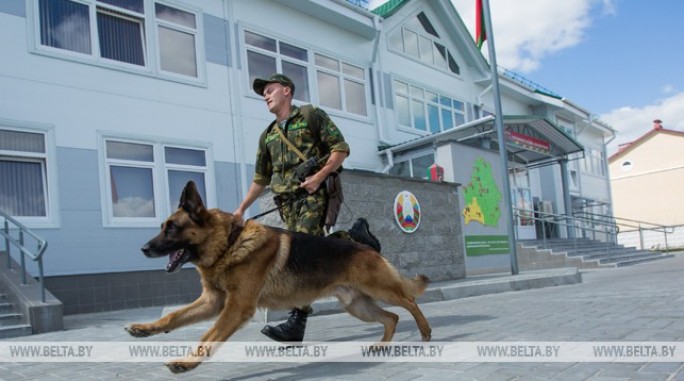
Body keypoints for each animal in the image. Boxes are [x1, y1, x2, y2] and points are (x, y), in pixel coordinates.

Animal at [125, 180, 430, 372]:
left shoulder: (236, 307)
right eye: (162, 227)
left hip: (381, 290)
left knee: (410, 302)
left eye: (172, 228)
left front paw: (187, 363)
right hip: (357, 305)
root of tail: (367, 247)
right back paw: (382, 346)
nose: (143, 249)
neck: (229, 244)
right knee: (391, 317)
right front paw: (145, 328)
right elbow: (173, 316)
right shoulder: (213, 302)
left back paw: (426, 332)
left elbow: (208, 335)